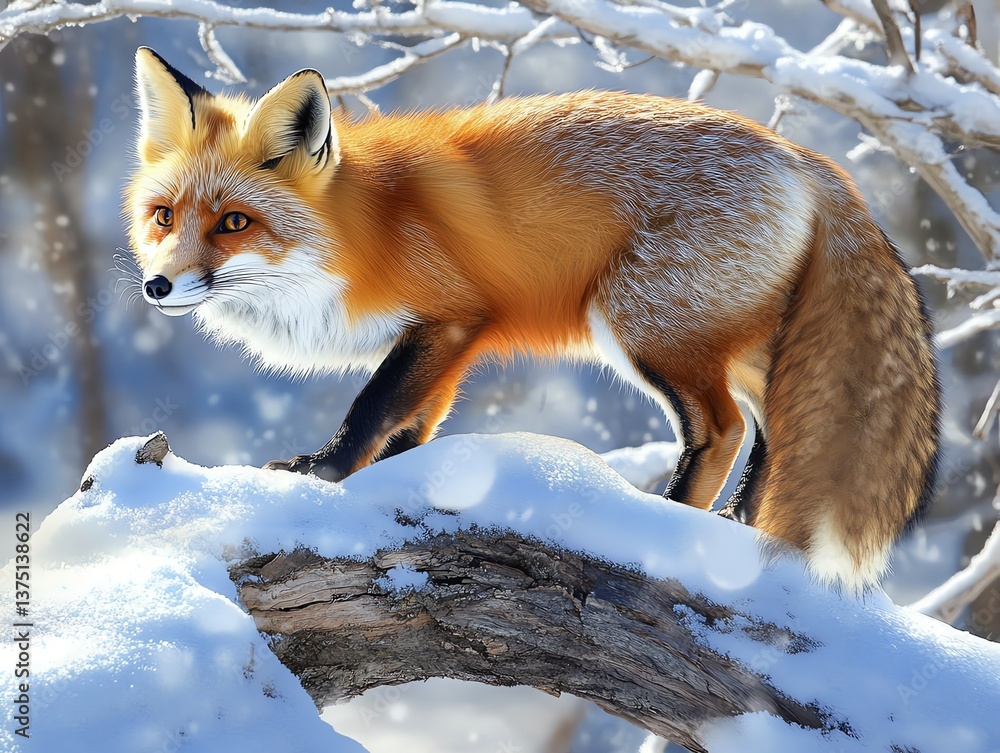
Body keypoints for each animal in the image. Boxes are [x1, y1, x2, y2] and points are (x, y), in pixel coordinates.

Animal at [125, 47, 940, 591]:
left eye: (234, 222)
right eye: (164, 216)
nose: (158, 286)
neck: (364, 232)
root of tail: (808, 159)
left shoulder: (450, 319)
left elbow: (373, 408)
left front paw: (319, 473)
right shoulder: (450, 338)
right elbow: (414, 426)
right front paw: (392, 485)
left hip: (645, 328)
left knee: (724, 428)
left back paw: (666, 524)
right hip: (737, 341)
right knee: (774, 425)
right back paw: (736, 522)